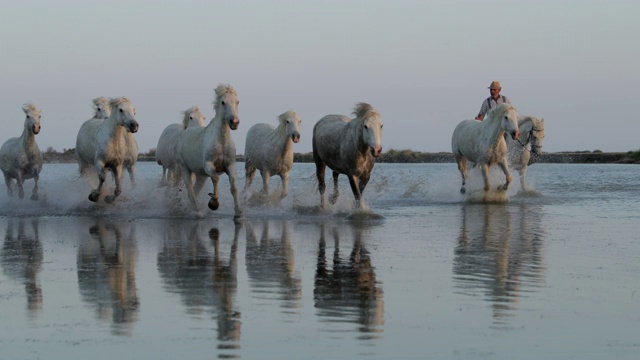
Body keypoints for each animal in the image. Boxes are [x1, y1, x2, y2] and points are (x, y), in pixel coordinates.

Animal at [175, 84, 242, 218]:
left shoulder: (231, 165)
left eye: (237, 102)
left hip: (200, 175)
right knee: (191, 192)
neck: (221, 142)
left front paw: (238, 212)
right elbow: (215, 178)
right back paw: (197, 212)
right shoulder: (209, 165)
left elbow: (234, 188)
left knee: (194, 192)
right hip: (185, 168)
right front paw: (213, 203)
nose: (234, 122)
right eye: (223, 102)